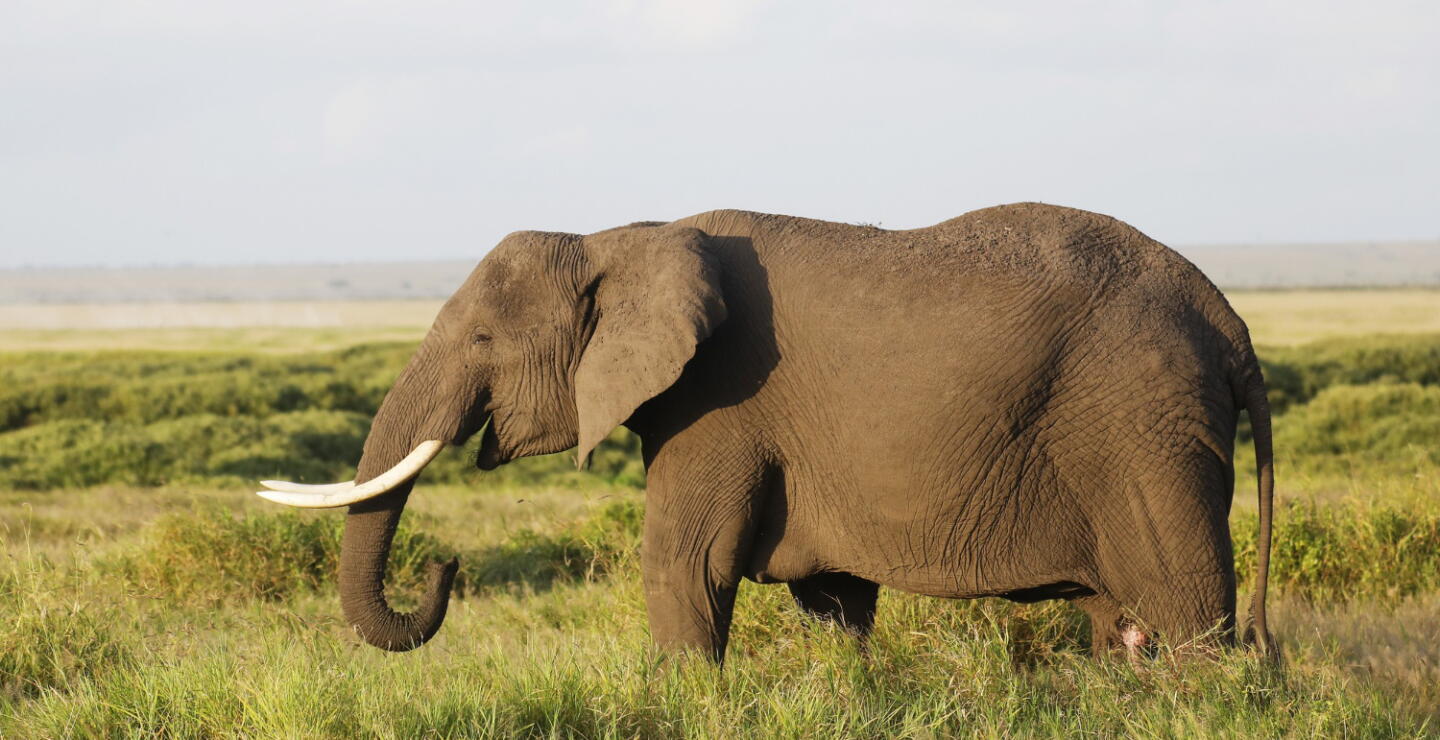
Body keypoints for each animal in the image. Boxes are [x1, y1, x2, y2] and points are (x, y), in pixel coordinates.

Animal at [257, 202, 1275, 661]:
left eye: (480, 341)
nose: (446, 564)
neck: (619, 238)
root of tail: (1229, 322)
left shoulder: (719, 402)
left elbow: (683, 565)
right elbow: (834, 602)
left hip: (1143, 427)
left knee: (1188, 616)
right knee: (1120, 623)